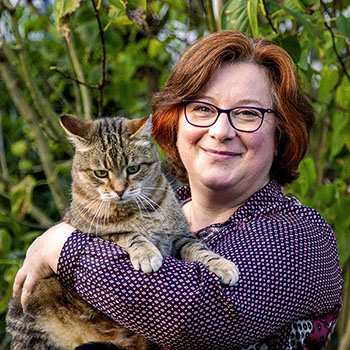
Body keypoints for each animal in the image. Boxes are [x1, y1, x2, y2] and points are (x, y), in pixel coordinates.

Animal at [6, 115, 239, 350]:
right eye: (101, 173)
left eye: (133, 168)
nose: (120, 191)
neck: (137, 209)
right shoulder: (99, 235)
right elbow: (129, 234)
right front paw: (147, 254)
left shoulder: (180, 237)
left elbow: (200, 250)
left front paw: (222, 265)